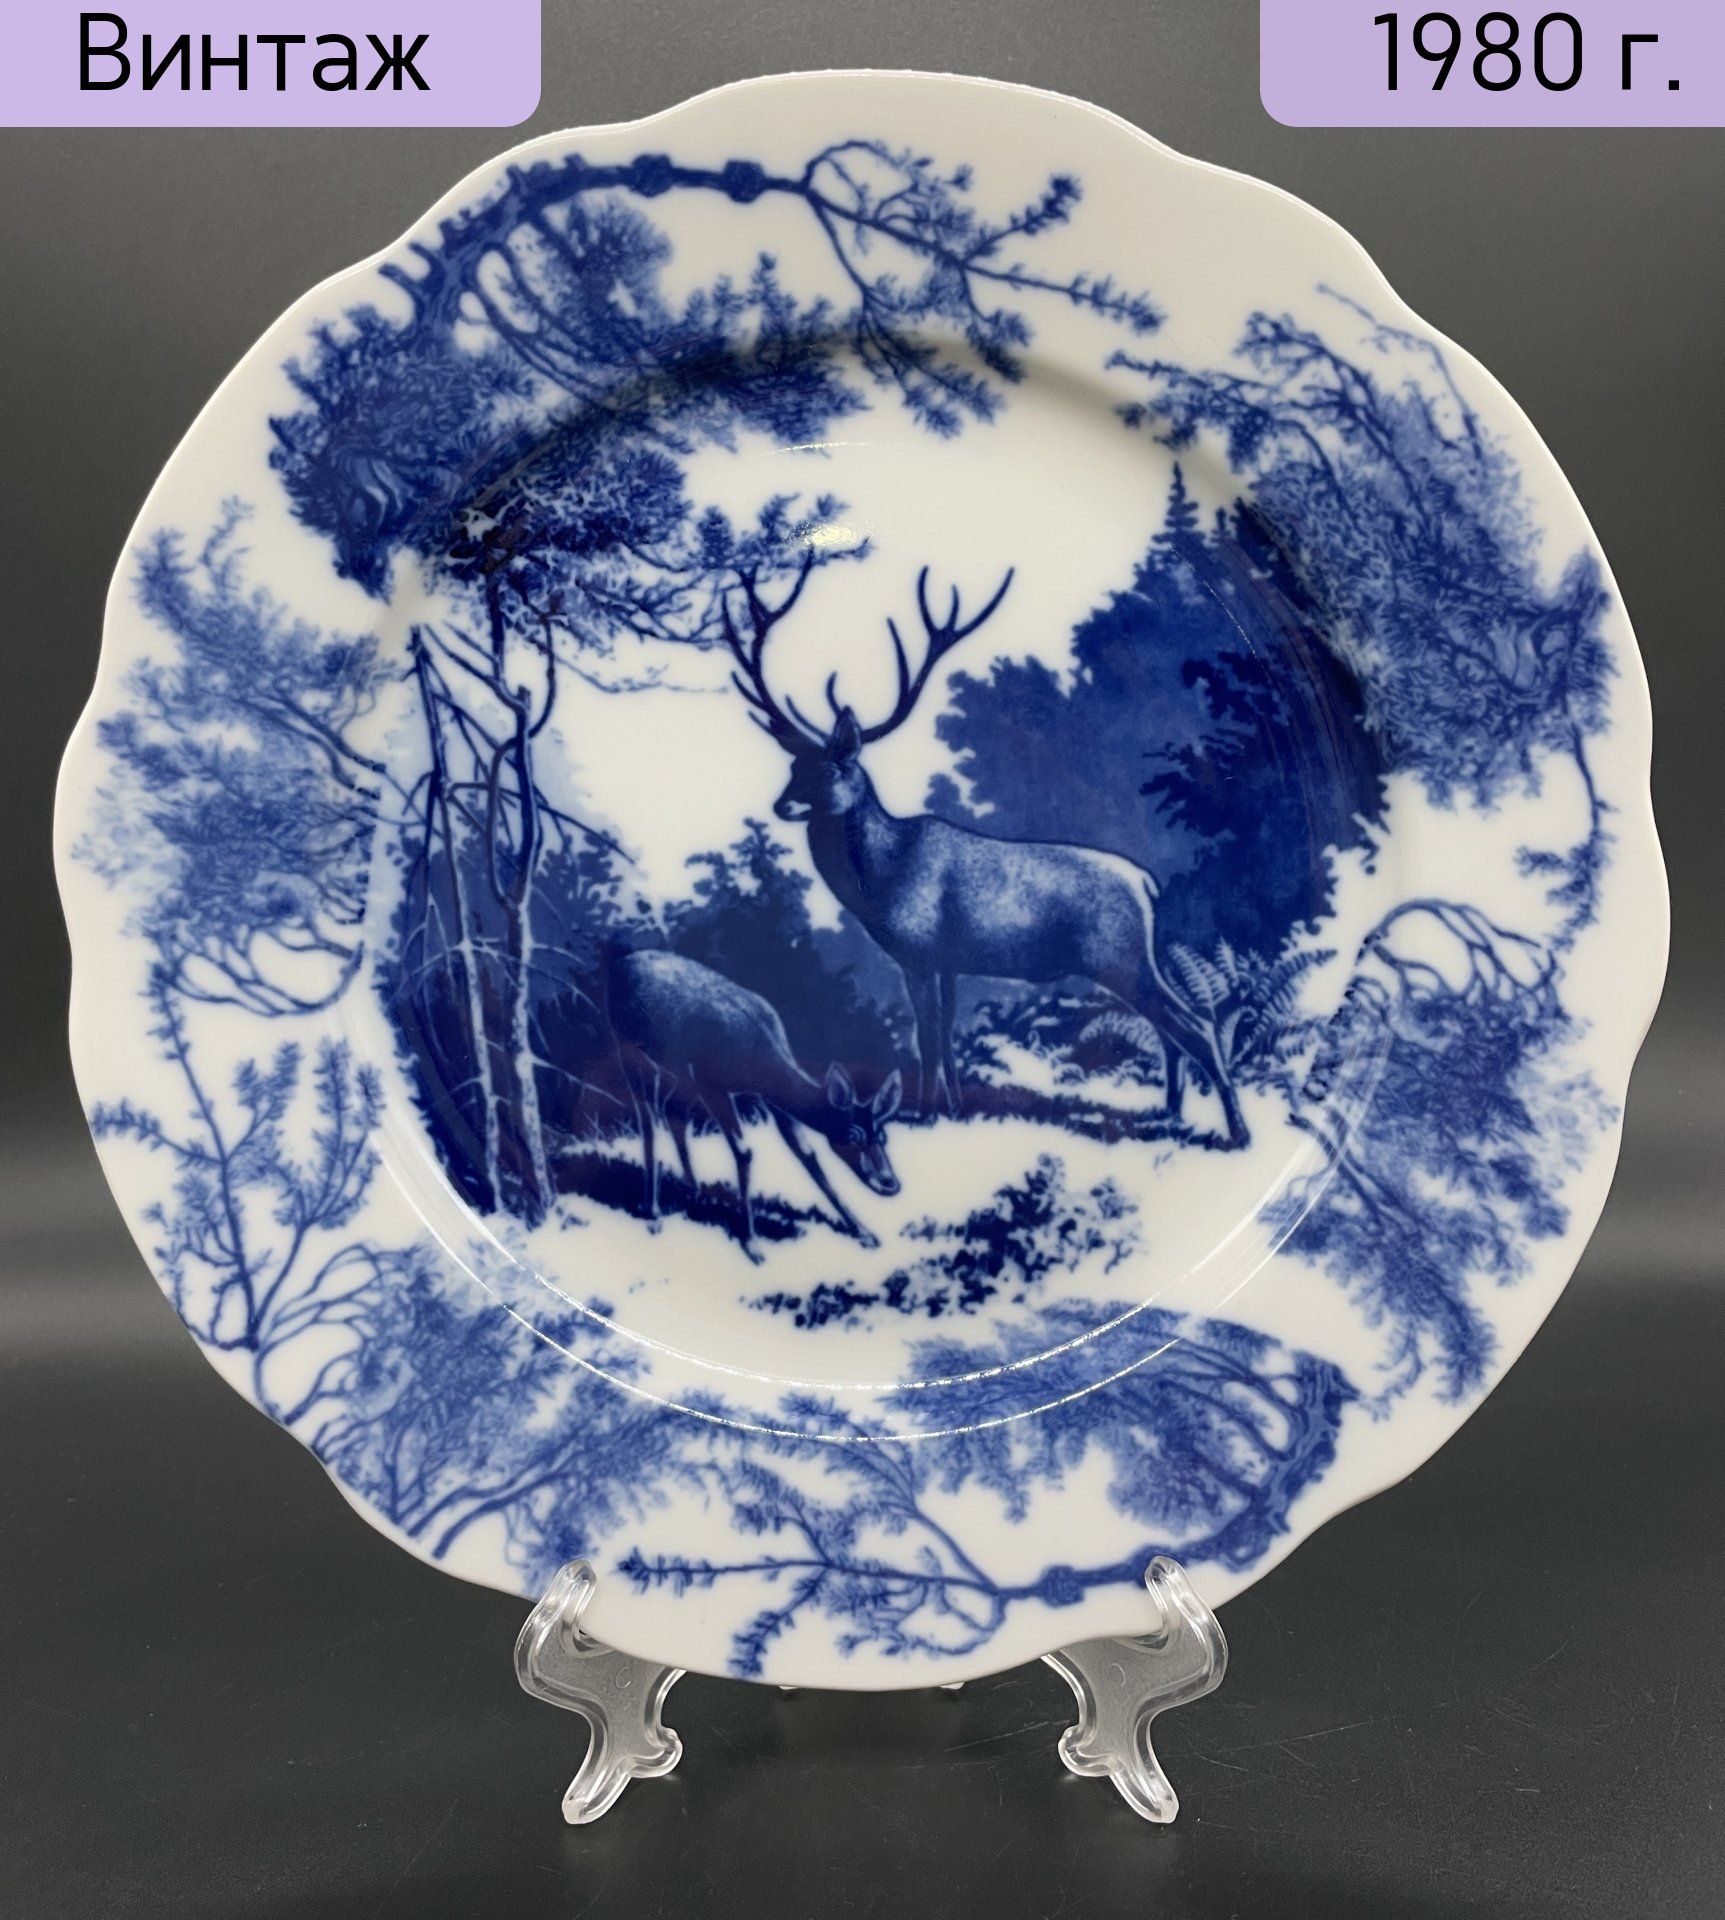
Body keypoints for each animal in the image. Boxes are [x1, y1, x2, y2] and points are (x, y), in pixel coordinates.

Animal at [606, 947, 903, 1260]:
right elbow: (744, 1151)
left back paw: (693, 1186)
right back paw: (653, 1212)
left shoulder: (766, 1099)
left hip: (674, 1068)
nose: (890, 1183)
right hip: (626, 1046)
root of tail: (619, 962)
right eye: (851, 1136)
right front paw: (751, 1244)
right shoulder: (711, 1084)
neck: (758, 1064)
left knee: (673, 1114)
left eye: (883, 1135)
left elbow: (806, 1152)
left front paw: (865, 1233)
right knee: (648, 1116)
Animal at [716, 560, 1249, 1148]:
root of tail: (1147, 885)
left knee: (1194, 1024)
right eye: (793, 766)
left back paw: (1237, 1131)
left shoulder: (919, 952)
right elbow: (948, 1037)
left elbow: (927, 1037)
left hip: (1118, 955)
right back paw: (1170, 1113)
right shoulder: (952, 962)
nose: (782, 804)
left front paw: (920, 1114)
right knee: (1169, 1029)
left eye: (836, 767)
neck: (880, 882)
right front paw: (951, 1108)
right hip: (1133, 959)